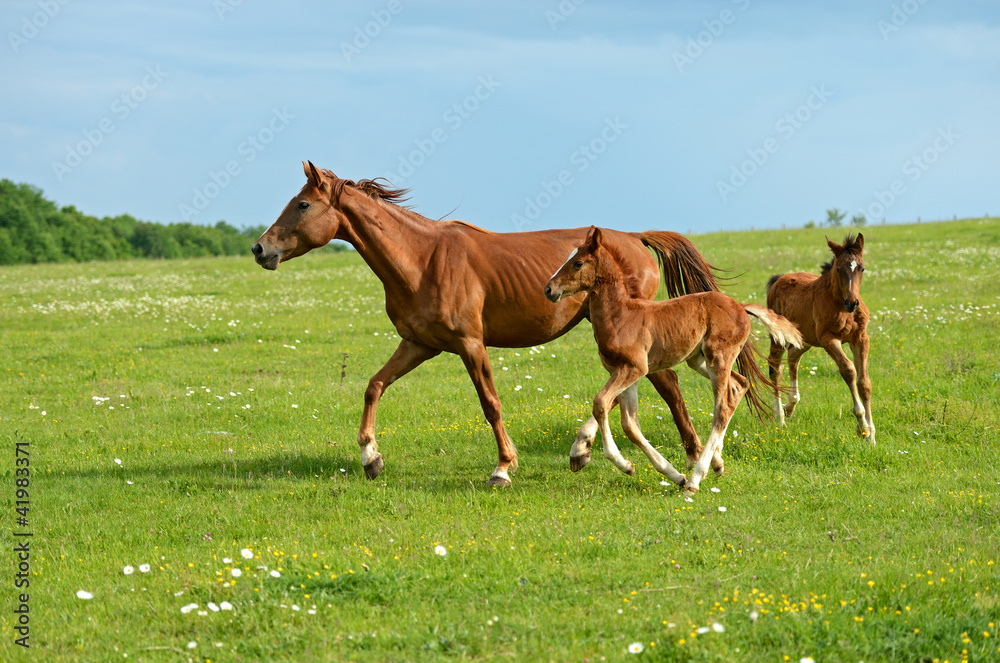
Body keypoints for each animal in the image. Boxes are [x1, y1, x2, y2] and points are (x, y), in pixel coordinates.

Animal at [252, 161, 732, 486]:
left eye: (303, 204)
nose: (260, 249)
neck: (421, 260)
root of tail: (634, 238)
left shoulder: (470, 344)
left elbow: (490, 404)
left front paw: (503, 467)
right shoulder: (418, 344)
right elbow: (374, 386)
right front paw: (371, 457)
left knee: (665, 387)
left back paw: (687, 459)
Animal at [545, 227, 803, 494]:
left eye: (578, 262)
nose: (549, 289)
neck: (620, 316)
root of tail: (740, 306)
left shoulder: (633, 368)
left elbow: (601, 403)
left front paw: (622, 464)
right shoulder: (623, 371)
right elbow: (629, 424)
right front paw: (669, 473)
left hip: (718, 357)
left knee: (722, 408)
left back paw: (696, 478)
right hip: (699, 360)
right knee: (738, 385)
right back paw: (717, 462)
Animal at [765, 233, 875, 443]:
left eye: (862, 268)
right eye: (839, 269)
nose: (852, 303)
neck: (840, 305)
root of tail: (777, 280)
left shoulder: (860, 338)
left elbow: (864, 382)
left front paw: (871, 434)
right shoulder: (828, 339)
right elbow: (849, 371)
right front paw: (862, 426)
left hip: (805, 340)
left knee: (793, 357)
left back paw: (789, 406)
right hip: (778, 337)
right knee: (775, 368)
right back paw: (780, 417)